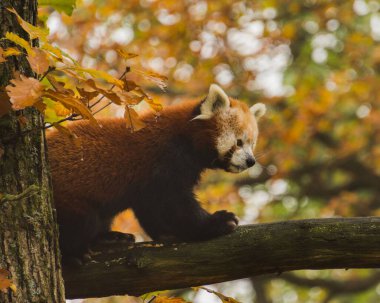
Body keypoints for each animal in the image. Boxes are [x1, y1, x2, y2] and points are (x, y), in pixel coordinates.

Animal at [46, 83, 268, 258]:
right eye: (238, 142)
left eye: (252, 144)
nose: (251, 161)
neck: (186, 137)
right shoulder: (165, 160)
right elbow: (173, 203)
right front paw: (216, 222)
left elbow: (152, 209)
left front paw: (167, 233)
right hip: (69, 198)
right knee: (80, 223)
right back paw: (75, 252)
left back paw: (108, 238)